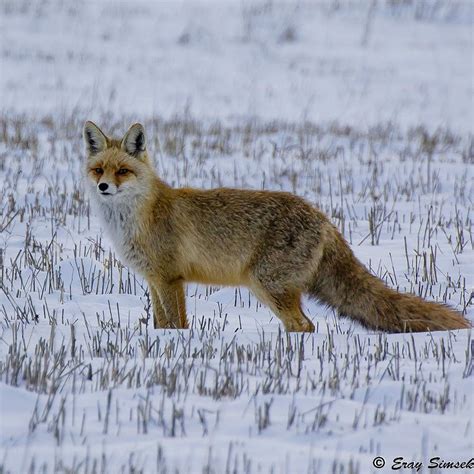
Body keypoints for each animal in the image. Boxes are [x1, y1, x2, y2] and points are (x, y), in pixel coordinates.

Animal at [82, 120, 470, 332]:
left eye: (123, 171)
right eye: (99, 169)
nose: (103, 187)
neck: (138, 218)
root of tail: (323, 217)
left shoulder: (171, 278)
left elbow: (178, 325)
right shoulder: (154, 280)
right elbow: (162, 325)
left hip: (267, 285)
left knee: (304, 326)